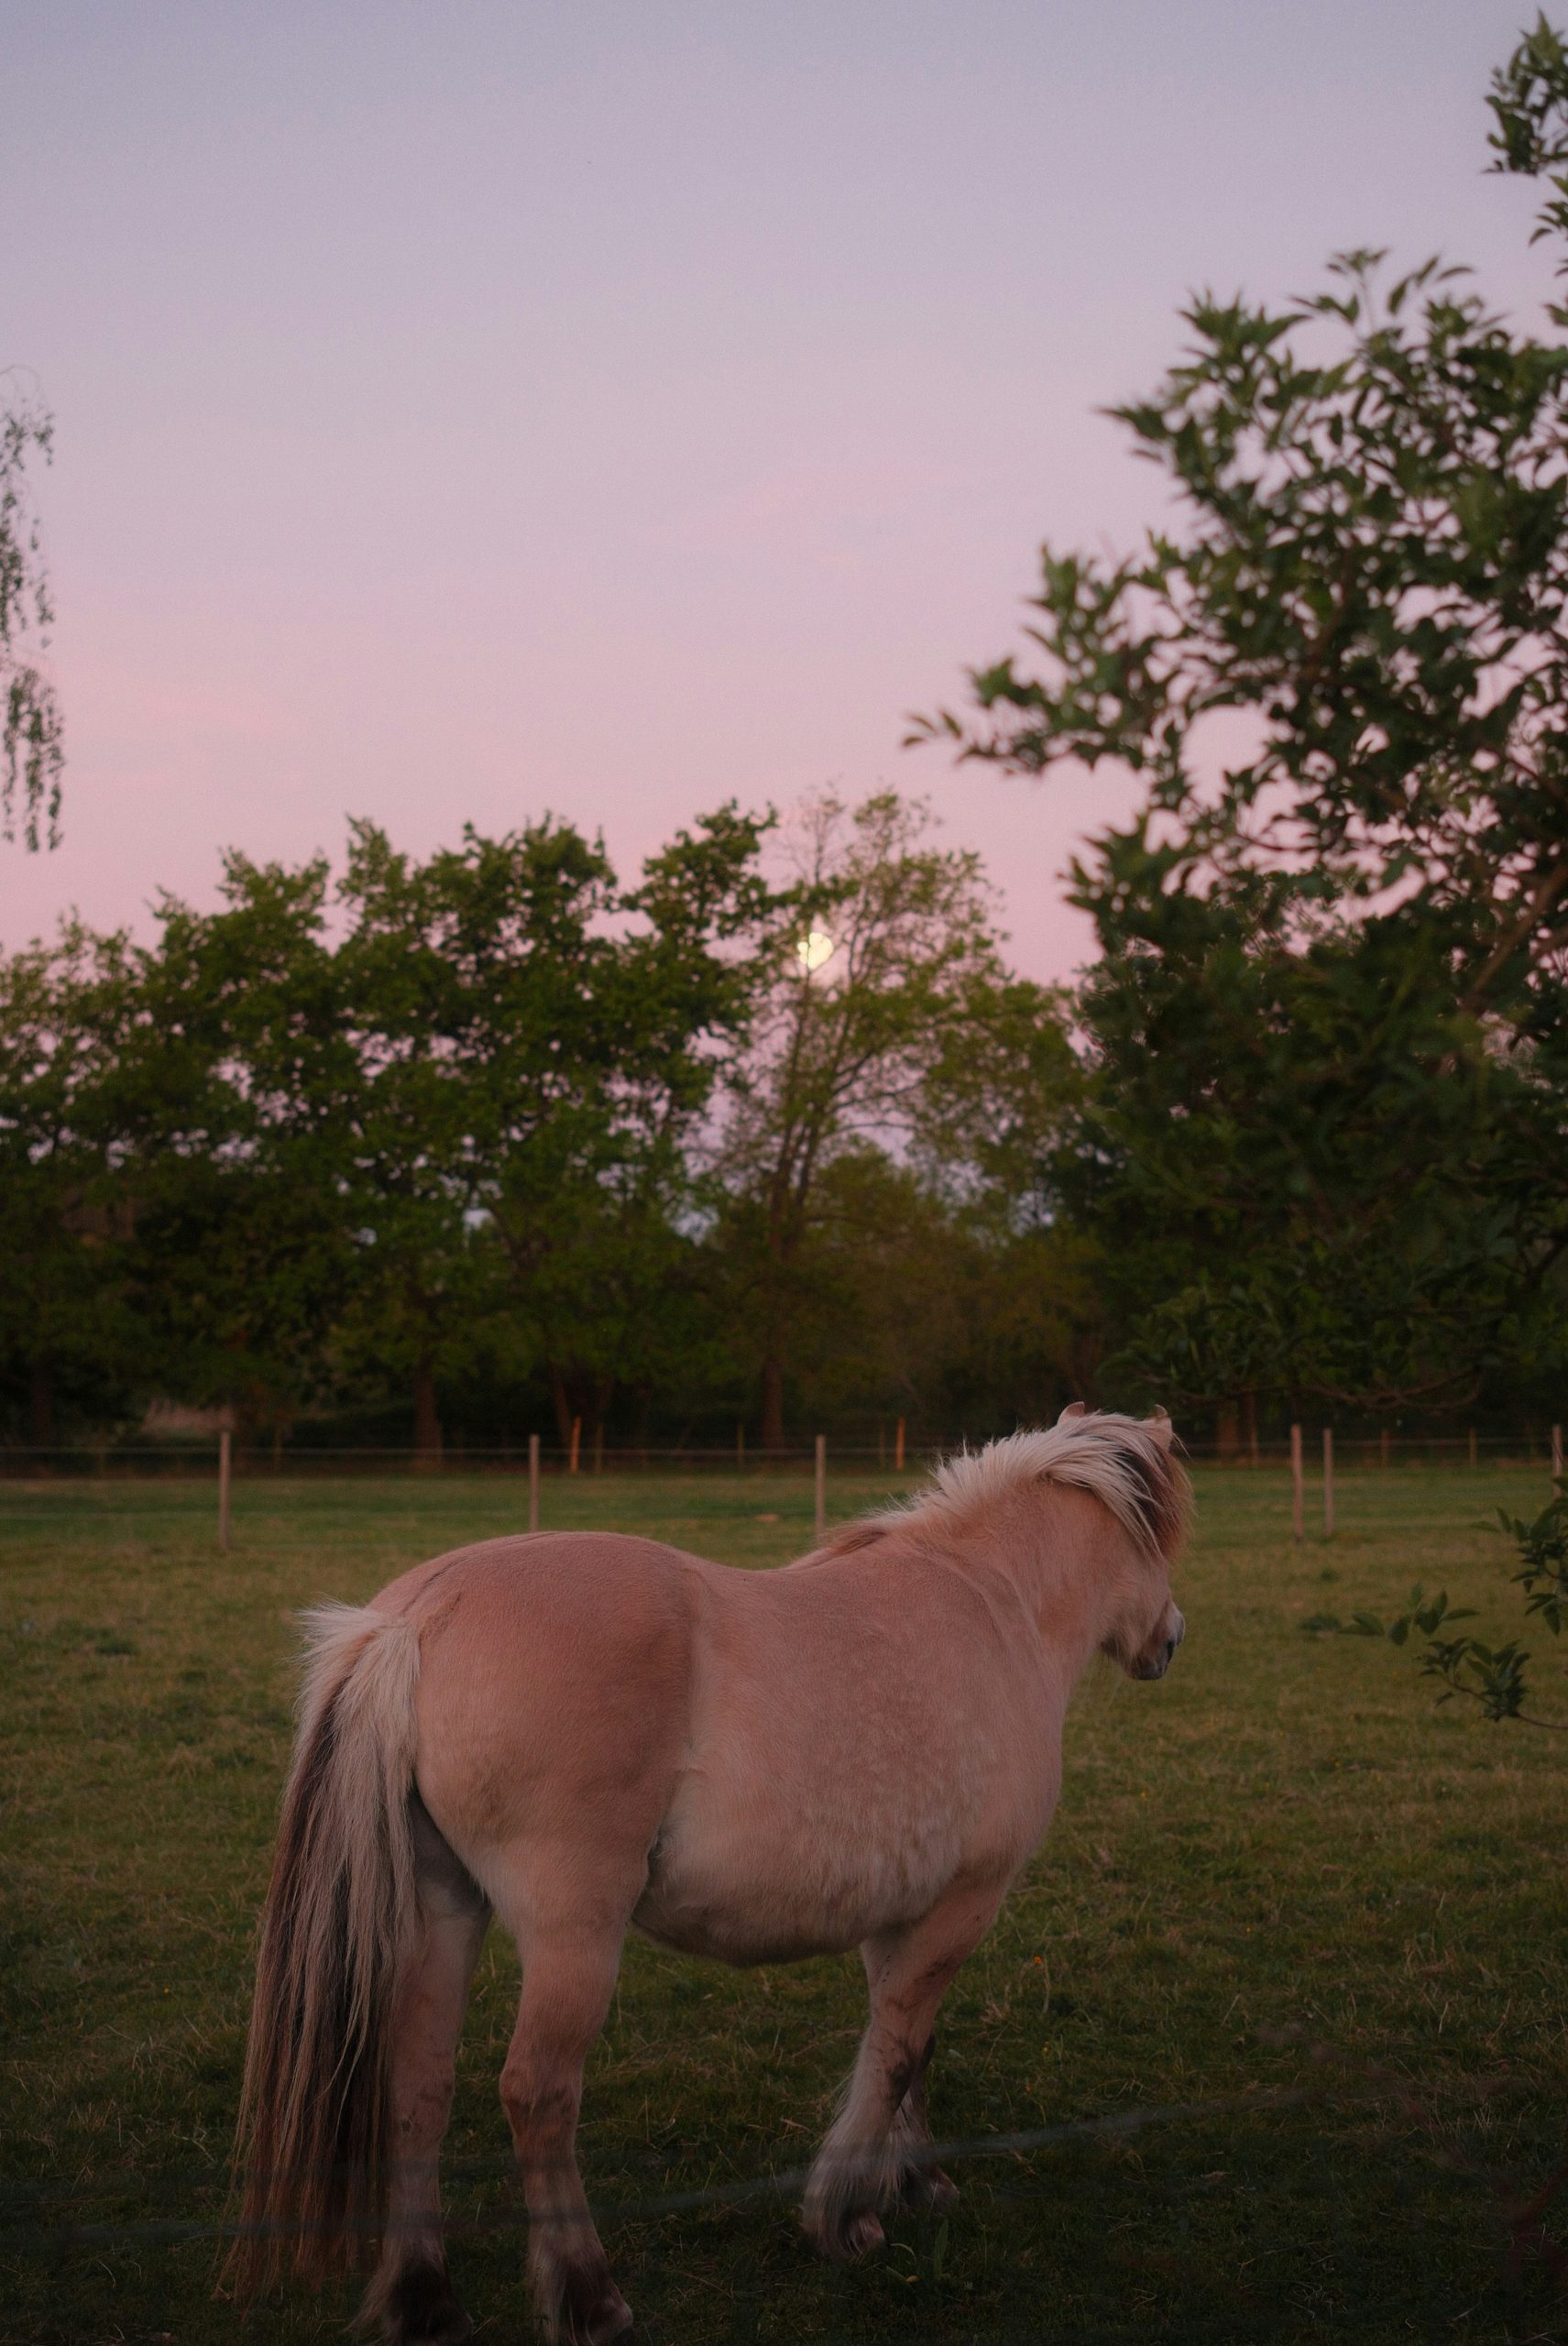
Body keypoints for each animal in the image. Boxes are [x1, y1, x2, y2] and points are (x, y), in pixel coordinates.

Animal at [227, 1404, 1190, 2345]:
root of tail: (417, 1618)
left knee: (418, 2085)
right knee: (537, 2094)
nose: (1170, 1640)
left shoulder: (903, 1917)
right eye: (1161, 1545)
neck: (995, 1606)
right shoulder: (964, 1903)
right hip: (573, 1931)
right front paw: (846, 2218)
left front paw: (916, 2185)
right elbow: (889, 2061)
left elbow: (906, 2048)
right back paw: (589, 2297)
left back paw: (424, 2299)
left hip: (444, 1910)